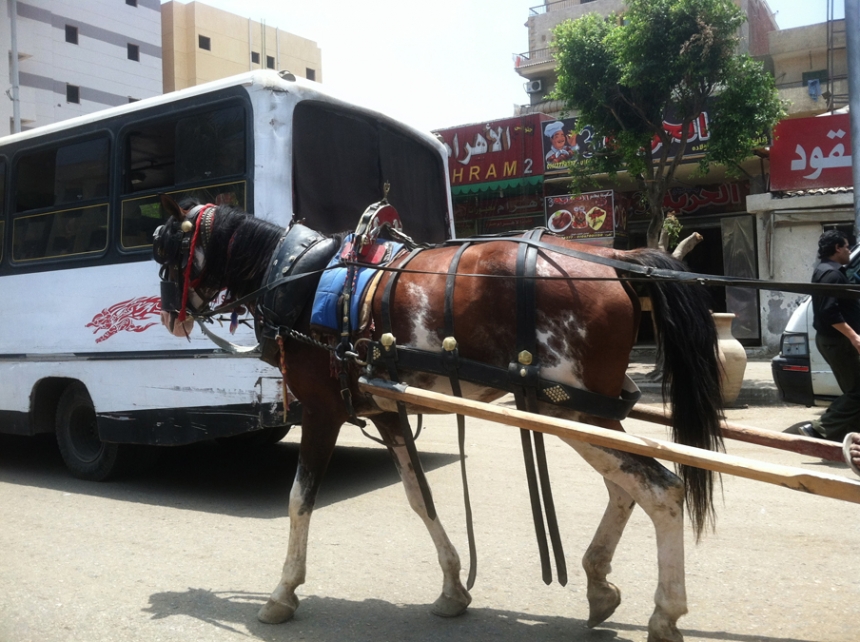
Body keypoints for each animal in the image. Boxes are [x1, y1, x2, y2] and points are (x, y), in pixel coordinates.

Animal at [152, 194, 723, 642]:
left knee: (661, 489)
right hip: (586, 413)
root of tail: (619, 258)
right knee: (625, 488)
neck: (302, 277)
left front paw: (282, 593)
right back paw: (599, 584)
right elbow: (419, 496)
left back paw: (665, 613)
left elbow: (299, 500)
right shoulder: (385, 409)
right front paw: (452, 588)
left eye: (165, 252)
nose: (167, 316)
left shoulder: (321, 410)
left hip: (570, 409)